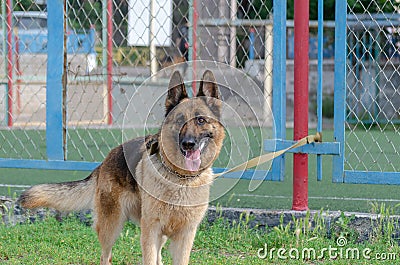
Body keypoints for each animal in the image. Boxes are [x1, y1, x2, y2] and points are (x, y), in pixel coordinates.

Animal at [18, 70, 225, 264]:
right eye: (179, 120)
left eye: (200, 120)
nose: (188, 144)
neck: (181, 178)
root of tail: (105, 160)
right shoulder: (151, 231)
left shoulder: (184, 236)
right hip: (111, 226)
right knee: (105, 256)